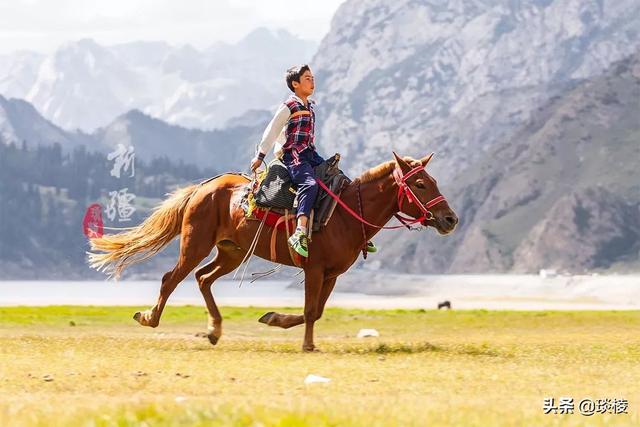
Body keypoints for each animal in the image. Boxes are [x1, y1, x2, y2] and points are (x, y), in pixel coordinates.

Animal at [87, 152, 458, 352]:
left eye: (434, 181)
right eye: (421, 184)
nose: (450, 219)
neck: (345, 213)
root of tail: (202, 188)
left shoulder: (333, 275)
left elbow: (316, 312)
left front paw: (274, 319)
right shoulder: (314, 270)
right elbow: (309, 310)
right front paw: (307, 344)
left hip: (232, 252)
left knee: (203, 279)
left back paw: (214, 330)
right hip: (195, 244)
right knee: (171, 278)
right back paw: (150, 318)